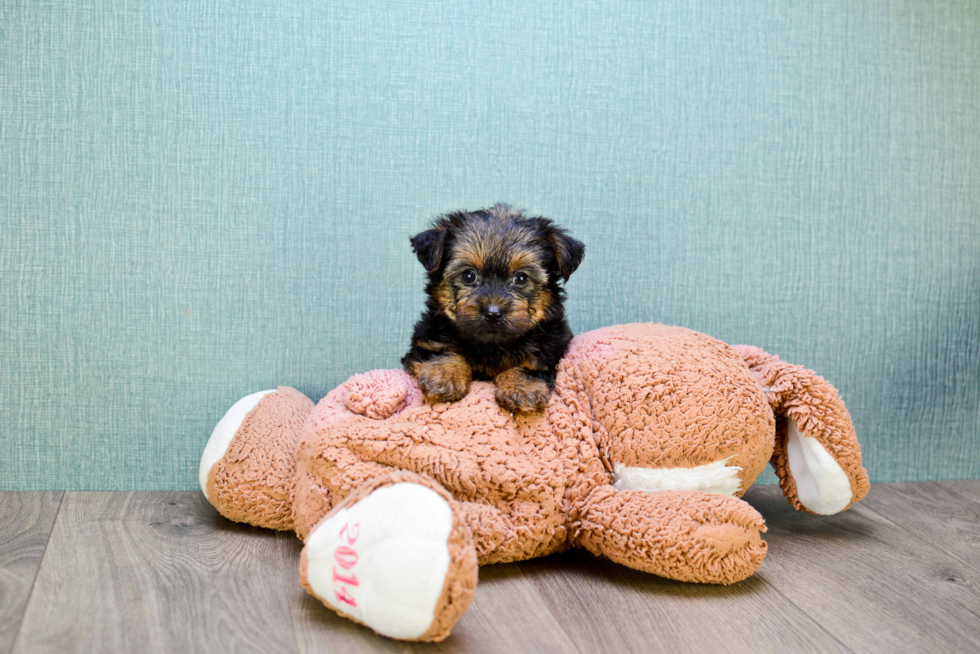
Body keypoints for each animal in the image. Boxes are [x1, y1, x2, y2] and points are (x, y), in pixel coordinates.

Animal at [404, 204, 584, 416]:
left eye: (521, 278)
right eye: (468, 275)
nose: (493, 313)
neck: (491, 345)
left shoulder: (551, 345)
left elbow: (533, 365)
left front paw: (521, 387)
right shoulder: (427, 337)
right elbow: (440, 351)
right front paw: (445, 375)